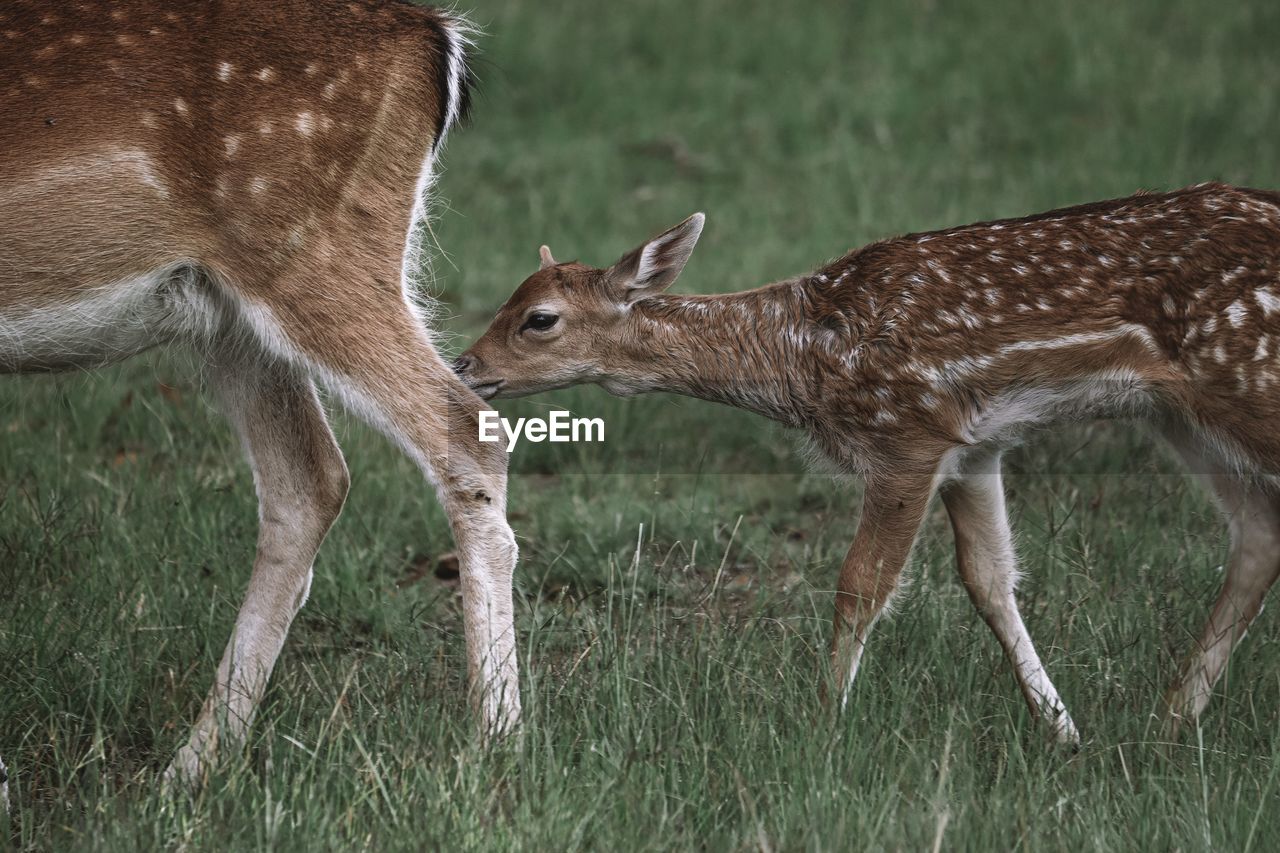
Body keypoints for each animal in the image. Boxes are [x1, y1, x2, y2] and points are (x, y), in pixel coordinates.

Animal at [0, 0, 521, 801]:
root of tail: (439, 35)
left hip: (307, 245)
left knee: (466, 430)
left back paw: (498, 740)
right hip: (230, 310)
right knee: (310, 478)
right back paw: (190, 768)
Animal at [456, 182, 1280, 744]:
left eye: (539, 319)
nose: (466, 365)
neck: (802, 356)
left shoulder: (905, 435)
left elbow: (860, 585)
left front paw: (823, 728)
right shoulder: (973, 445)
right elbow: (989, 581)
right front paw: (1064, 731)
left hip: (1246, 380)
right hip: (1182, 415)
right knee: (1257, 533)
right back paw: (1170, 722)